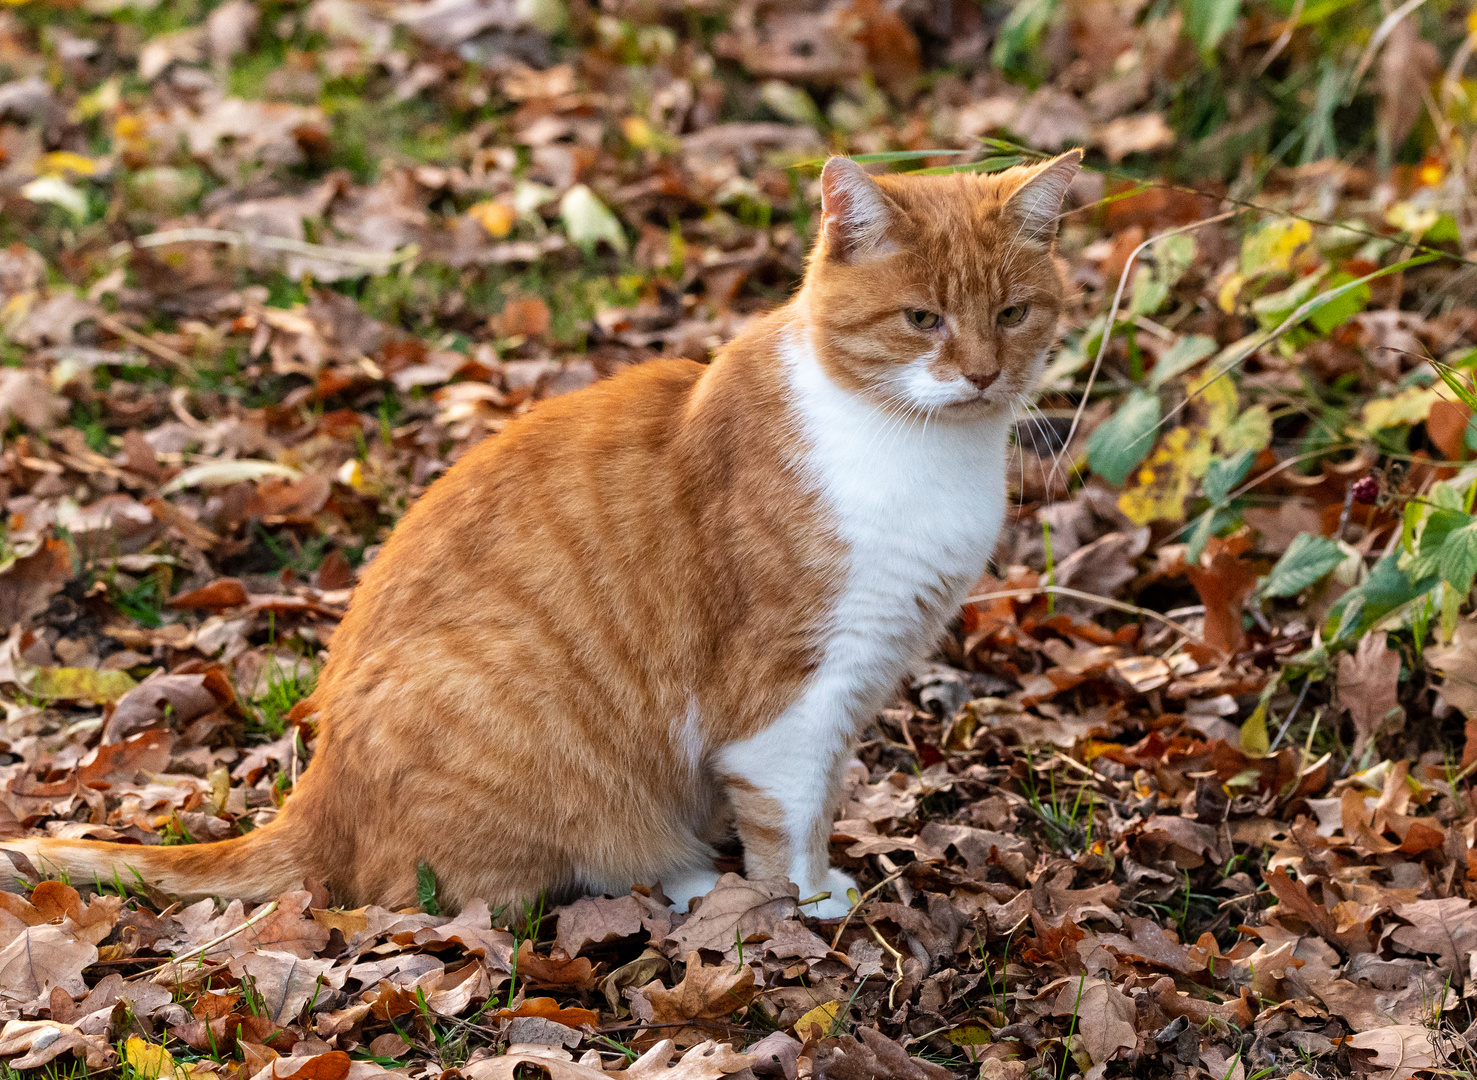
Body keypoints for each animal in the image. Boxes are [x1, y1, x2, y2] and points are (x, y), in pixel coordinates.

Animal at [5, 149, 1081, 921]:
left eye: (1012, 314)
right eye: (921, 319)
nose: (981, 374)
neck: (923, 453)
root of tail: (314, 799)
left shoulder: (857, 679)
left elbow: (815, 800)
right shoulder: (790, 690)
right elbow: (789, 815)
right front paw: (806, 905)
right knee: (476, 889)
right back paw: (687, 884)